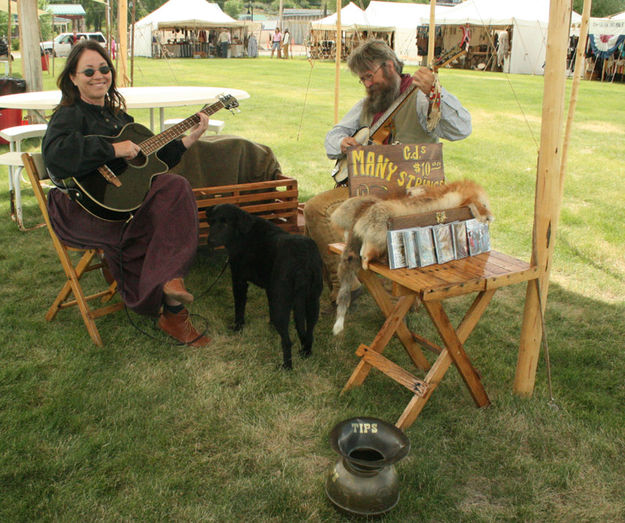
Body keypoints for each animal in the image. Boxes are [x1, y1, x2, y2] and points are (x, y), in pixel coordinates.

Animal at [206, 203, 322, 370]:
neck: (242, 234)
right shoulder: (269, 289)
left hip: (280, 302)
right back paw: (306, 352)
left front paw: (237, 327)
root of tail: (303, 259)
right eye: (211, 222)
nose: (210, 241)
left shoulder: (239, 281)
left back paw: (286, 367)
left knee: (287, 341)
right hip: (312, 301)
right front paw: (270, 325)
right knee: (309, 332)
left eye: (225, 223)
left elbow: (239, 308)